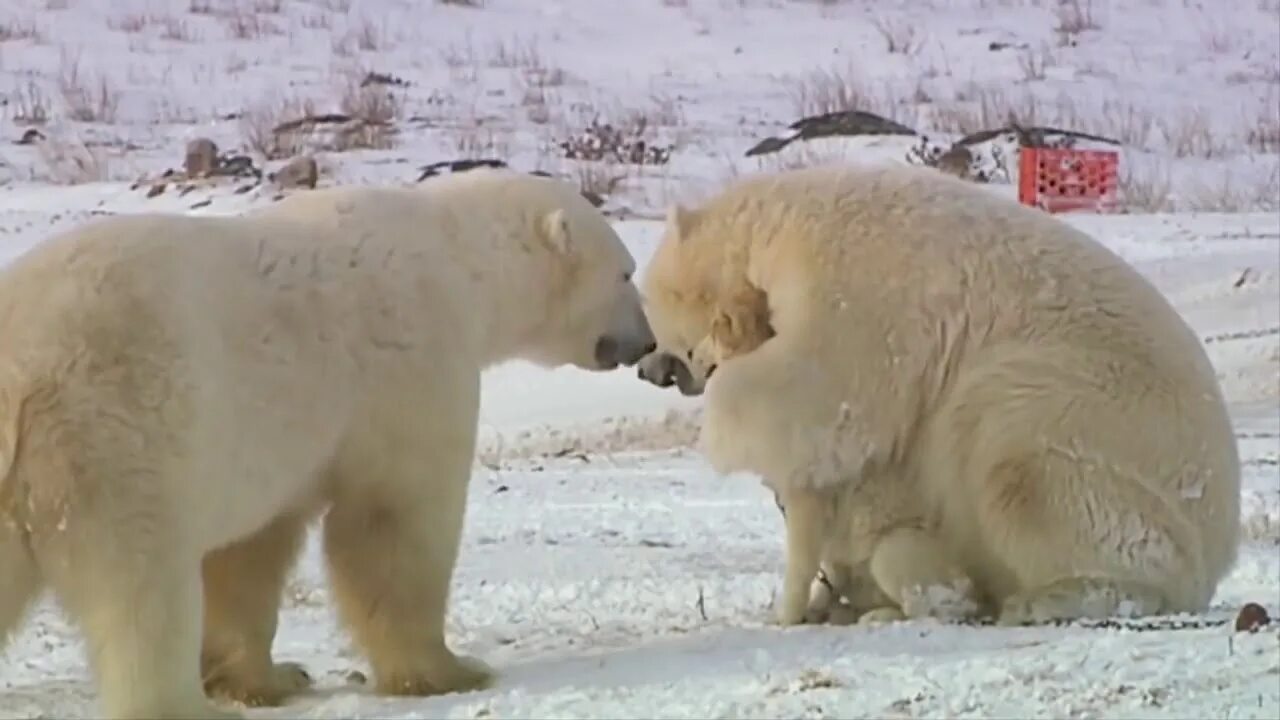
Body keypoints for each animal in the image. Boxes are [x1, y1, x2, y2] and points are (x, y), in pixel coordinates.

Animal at [0, 169, 655, 717]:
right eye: (627, 273)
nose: (647, 343)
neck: (459, 260)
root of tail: (19, 371)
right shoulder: (413, 359)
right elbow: (394, 520)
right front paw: (449, 669)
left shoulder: (278, 446)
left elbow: (253, 550)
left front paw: (270, 677)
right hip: (114, 436)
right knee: (141, 588)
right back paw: (181, 705)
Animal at [637, 162, 1239, 627]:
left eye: (656, 320)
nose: (649, 369)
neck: (777, 224)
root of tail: (1221, 548)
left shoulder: (852, 284)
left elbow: (832, 386)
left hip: (1099, 417)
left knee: (1012, 451)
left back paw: (1043, 599)